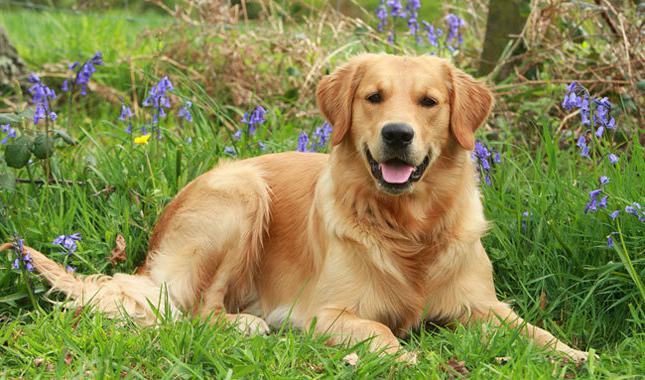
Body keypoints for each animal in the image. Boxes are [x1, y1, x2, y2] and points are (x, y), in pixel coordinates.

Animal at [3, 53, 588, 362]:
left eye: (429, 102)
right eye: (374, 97)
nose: (397, 135)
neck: (407, 228)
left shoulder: (483, 306)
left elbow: (533, 331)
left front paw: (577, 356)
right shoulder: (322, 313)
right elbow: (381, 331)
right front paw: (406, 356)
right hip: (241, 197)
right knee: (192, 311)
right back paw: (244, 325)